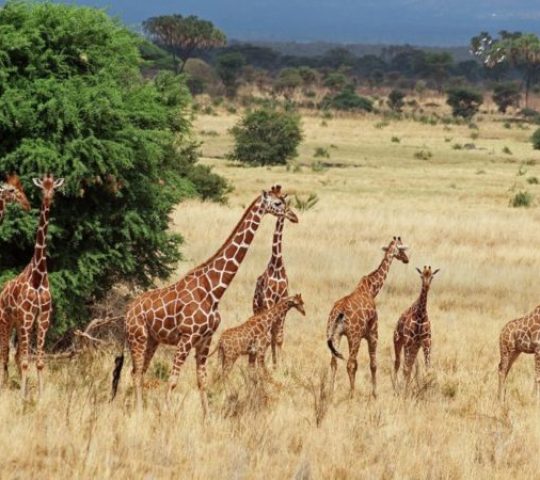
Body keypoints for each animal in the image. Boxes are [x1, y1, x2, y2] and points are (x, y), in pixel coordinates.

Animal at [0, 172, 64, 398]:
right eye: (41, 187)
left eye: (54, 187)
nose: (48, 198)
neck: (38, 277)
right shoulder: (28, 318)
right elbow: (26, 360)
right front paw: (22, 396)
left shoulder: (42, 318)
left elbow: (39, 362)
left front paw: (39, 395)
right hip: (6, 320)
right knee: (5, 353)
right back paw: (6, 385)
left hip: (18, 323)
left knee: (16, 355)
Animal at [111, 186, 298, 414]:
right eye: (278, 203)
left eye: (284, 201)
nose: (293, 216)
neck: (214, 290)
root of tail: (127, 312)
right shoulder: (186, 338)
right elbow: (173, 380)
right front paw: (167, 413)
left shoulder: (205, 339)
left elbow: (202, 381)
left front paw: (207, 416)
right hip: (138, 338)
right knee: (136, 372)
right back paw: (139, 411)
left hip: (152, 340)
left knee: (138, 371)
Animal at [324, 236, 410, 398]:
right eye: (401, 248)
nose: (407, 259)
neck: (371, 289)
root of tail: (339, 312)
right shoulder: (373, 333)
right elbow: (373, 364)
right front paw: (375, 394)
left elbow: (359, 365)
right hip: (354, 336)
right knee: (349, 363)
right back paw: (352, 394)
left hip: (334, 335)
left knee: (334, 362)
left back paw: (330, 393)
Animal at [392, 264, 438, 392]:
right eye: (421, 276)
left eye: (432, 276)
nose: (426, 286)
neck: (420, 314)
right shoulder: (408, 342)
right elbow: (406, 368)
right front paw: (404, 390)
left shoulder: (426, 342)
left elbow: (427, 368)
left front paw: (427, 389)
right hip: (399, 342)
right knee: (398, 363)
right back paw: (396, 387)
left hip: (415, 347)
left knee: (410, 364)